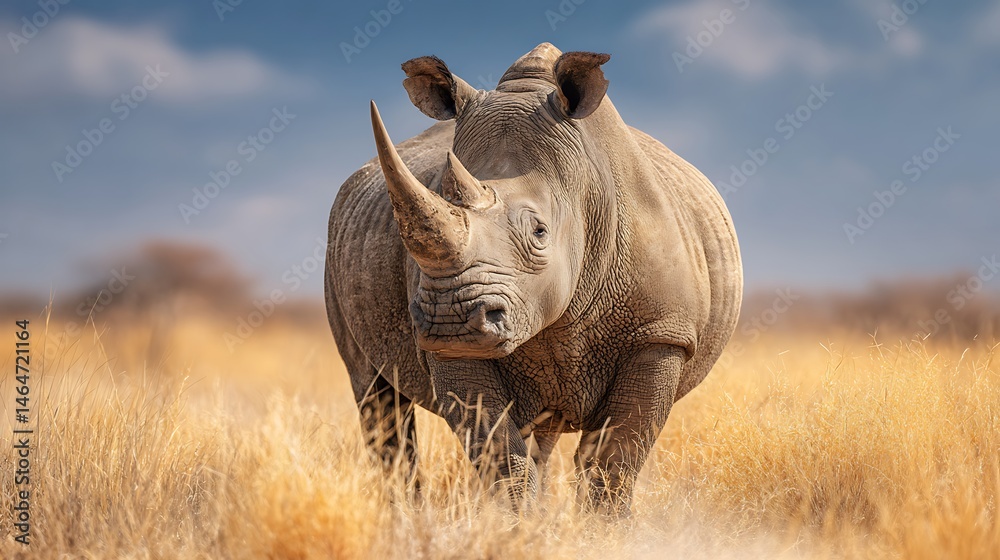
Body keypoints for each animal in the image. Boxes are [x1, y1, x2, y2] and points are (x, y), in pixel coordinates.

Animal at [325, 43, 742, 514]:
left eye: (540, 232)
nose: (450, 320)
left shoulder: (661, 333)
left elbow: (615, 460)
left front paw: (600, 526)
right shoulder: (449, 349)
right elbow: (499, 455)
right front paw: (517, 525)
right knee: (377, 397)